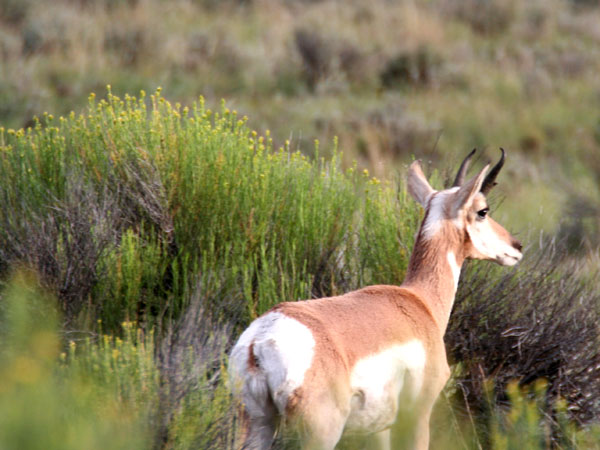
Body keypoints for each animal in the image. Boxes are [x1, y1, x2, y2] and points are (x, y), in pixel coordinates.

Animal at [229, 150, 520, 450]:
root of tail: (260, 339)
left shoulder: (378, 430)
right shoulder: (417, 415)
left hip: (256, 426)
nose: (516, 246)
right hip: (319, 435)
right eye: (483, 210)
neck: (419, 301)